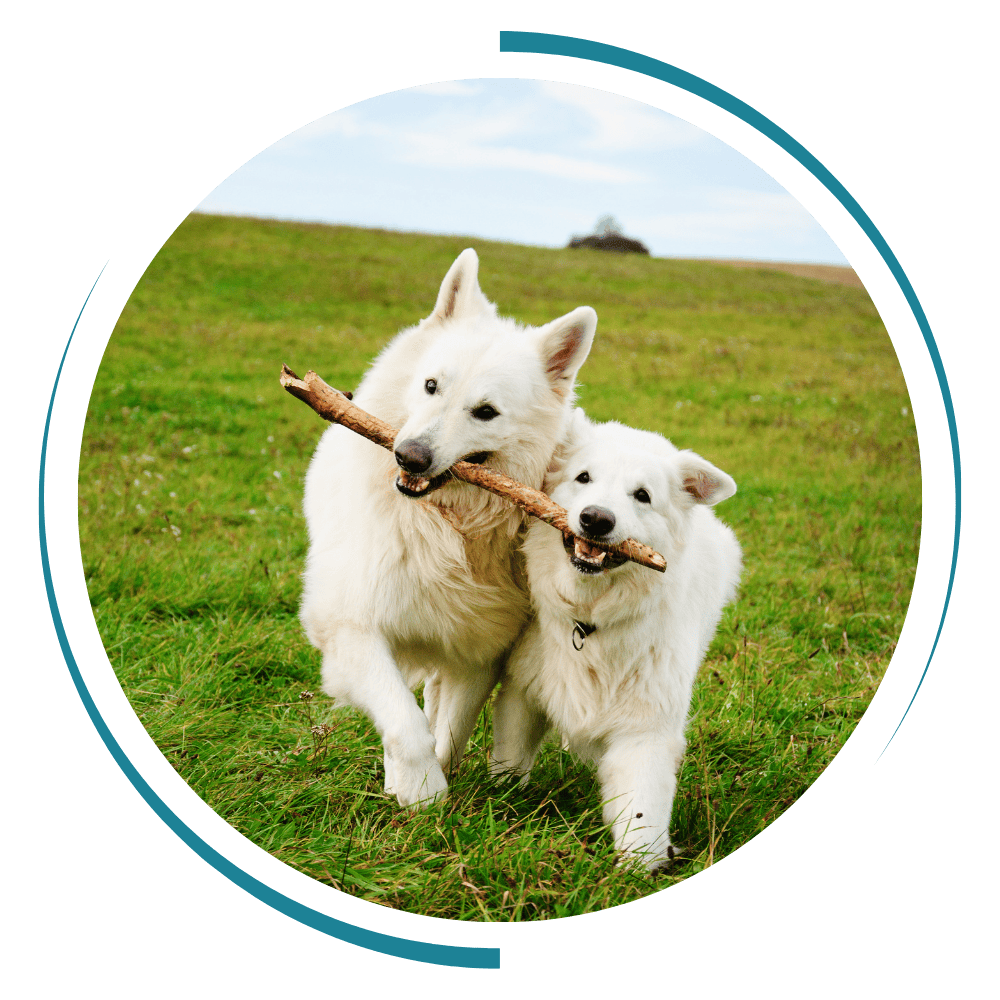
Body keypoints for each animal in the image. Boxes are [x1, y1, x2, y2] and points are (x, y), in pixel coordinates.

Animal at [296, 250, 592, 812]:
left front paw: (429, 788)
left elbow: (448, 731)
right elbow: (404, 720)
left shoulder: (477, 651)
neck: (446, 525)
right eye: (432, 386)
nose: (408, 456)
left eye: (485, 412)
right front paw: (419, 791)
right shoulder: (352, 627)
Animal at [488, 410, 740, 872]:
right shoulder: (523, 692)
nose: (596, 519)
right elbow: (511, 760)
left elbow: (642, 809)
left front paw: (640, 869)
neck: (589, 619)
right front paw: (501, 799)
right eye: (583, 477)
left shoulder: (645, 730)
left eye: (642, 496)